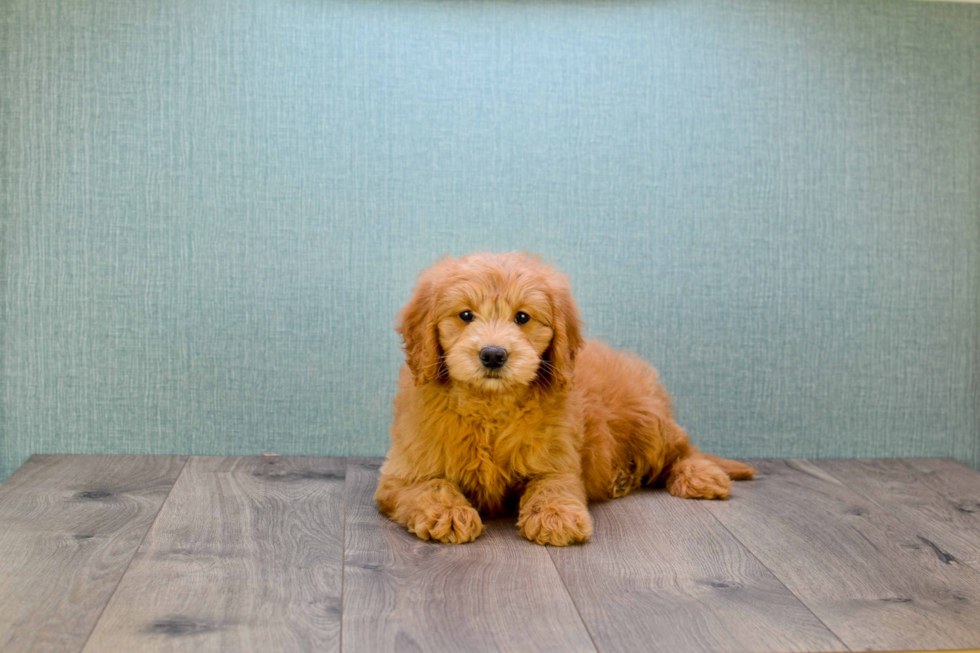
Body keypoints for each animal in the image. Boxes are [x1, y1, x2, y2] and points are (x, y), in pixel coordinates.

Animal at [372, 252, 756, 544]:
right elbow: (430, 485)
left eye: (522, 317)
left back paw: (699, 475)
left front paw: (556, 517)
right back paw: (623, 478)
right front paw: (449, 513)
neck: (491, 406)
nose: (493, 354)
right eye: (465, 315)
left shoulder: (557, 460)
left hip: (647, 421)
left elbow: (553, 486)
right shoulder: (403, 472)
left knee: (683, 449)